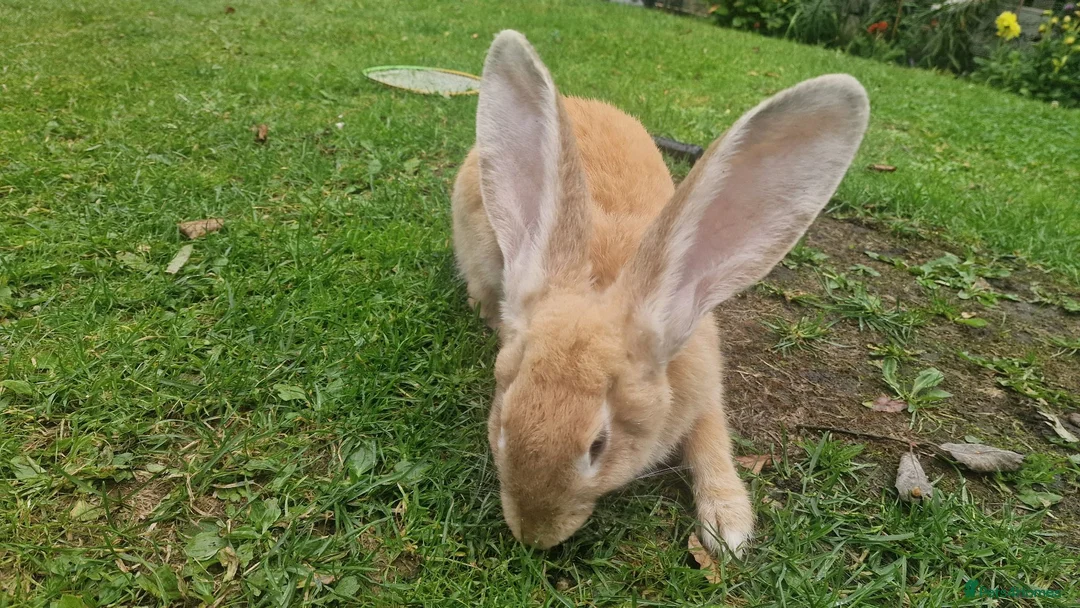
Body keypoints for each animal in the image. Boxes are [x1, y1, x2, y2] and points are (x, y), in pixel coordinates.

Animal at [451, 30, 869, 556]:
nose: (533, 536)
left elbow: (711, 437)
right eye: (503, 420)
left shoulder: (705, 384)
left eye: (598, 445)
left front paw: (728, 528)